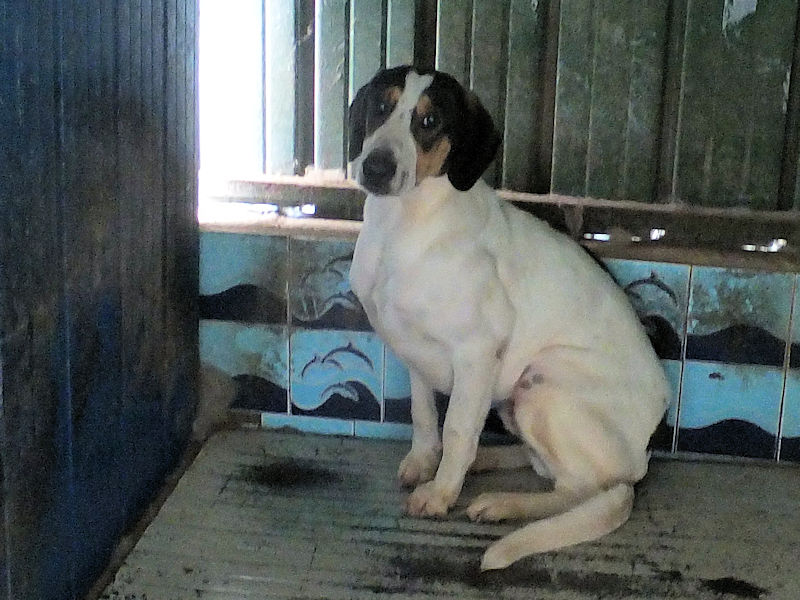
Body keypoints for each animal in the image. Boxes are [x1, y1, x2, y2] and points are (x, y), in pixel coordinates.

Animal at [347, 66, 669, 571]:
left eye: (430, 121)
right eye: (382, 106)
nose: (376, 167)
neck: (402, 227)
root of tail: (643, 458)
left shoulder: (478, 351)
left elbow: (457, 427)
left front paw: (441, 493)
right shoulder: (413, 350)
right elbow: (424, 415)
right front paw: (425, 461)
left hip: (542, 386)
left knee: (581, 488)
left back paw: (504, 503)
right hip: (514, 401)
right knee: (543, 465)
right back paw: (487, 462)